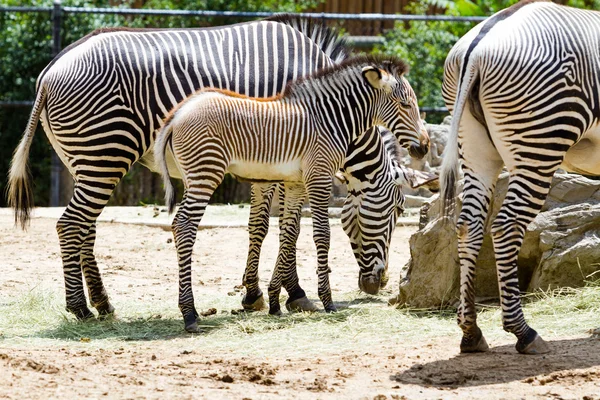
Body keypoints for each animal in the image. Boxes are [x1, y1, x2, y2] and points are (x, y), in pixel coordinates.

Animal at [7, 14, 350, 322]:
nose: (368, 285)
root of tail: (49, 72)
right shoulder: (281, 157)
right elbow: (279, 227)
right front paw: (287, 294)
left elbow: (271, 226)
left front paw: (263, 293)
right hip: (105, 151)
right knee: (71, 224)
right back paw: (80, 307)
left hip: (85, 160)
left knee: (85, 225)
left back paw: (102, 303)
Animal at [157, 55, 428, 332]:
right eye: (406, 105)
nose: (425, 147)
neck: (330, 120)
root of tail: (178, 114)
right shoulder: (319, 177)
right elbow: (322, 235)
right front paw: (327, 300)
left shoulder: (295, 182)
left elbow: (288, 233)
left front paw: (276, 301)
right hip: (206, 172)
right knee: (184, 225)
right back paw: (189, 313)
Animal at [438, 0, 600, 356]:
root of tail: (479, 44)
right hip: (539, 141)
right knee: (506, 225)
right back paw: (524, 332)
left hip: (475, 150)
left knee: (469, 226)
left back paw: (471, 333)